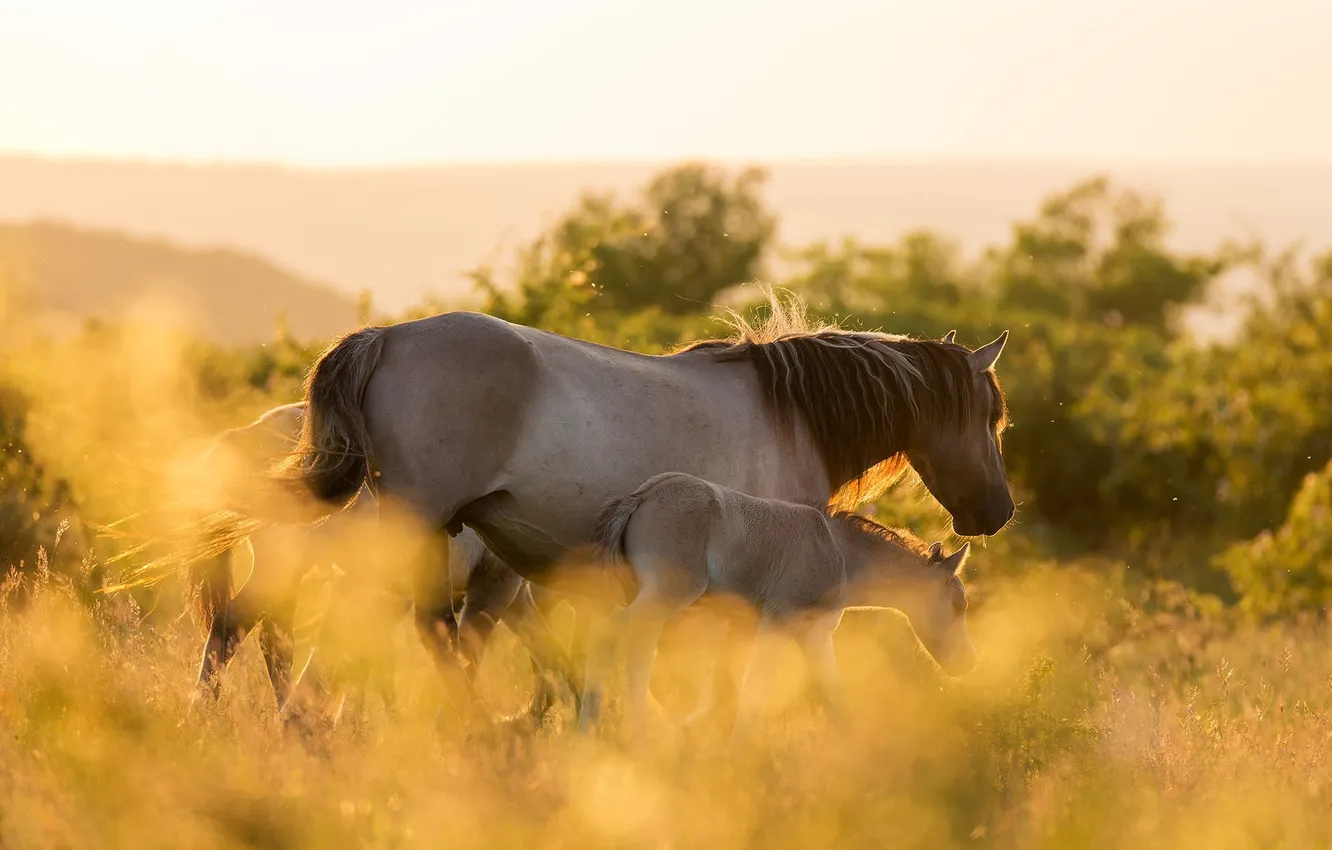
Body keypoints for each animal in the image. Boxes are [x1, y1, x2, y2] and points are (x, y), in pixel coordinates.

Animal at [188, 402, 580, 725]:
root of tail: (250, 432)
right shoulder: (494, 585)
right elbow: (471, 652)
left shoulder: (510, 596)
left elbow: (550, 655)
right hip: (281, 568)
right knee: (232, 627)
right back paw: (205, 711)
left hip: (288, 574)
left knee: (271, 638)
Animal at [580, 471, 974, 742]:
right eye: (958, 604)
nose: (968, 662)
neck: (840, 554)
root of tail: (642, 495)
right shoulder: (777, 621)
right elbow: (754, 689)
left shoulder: (814, 635)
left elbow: (835, 698)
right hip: (669, 592)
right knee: (610, 631)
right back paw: (587, 732)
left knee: (638, 656)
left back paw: (639, 739)